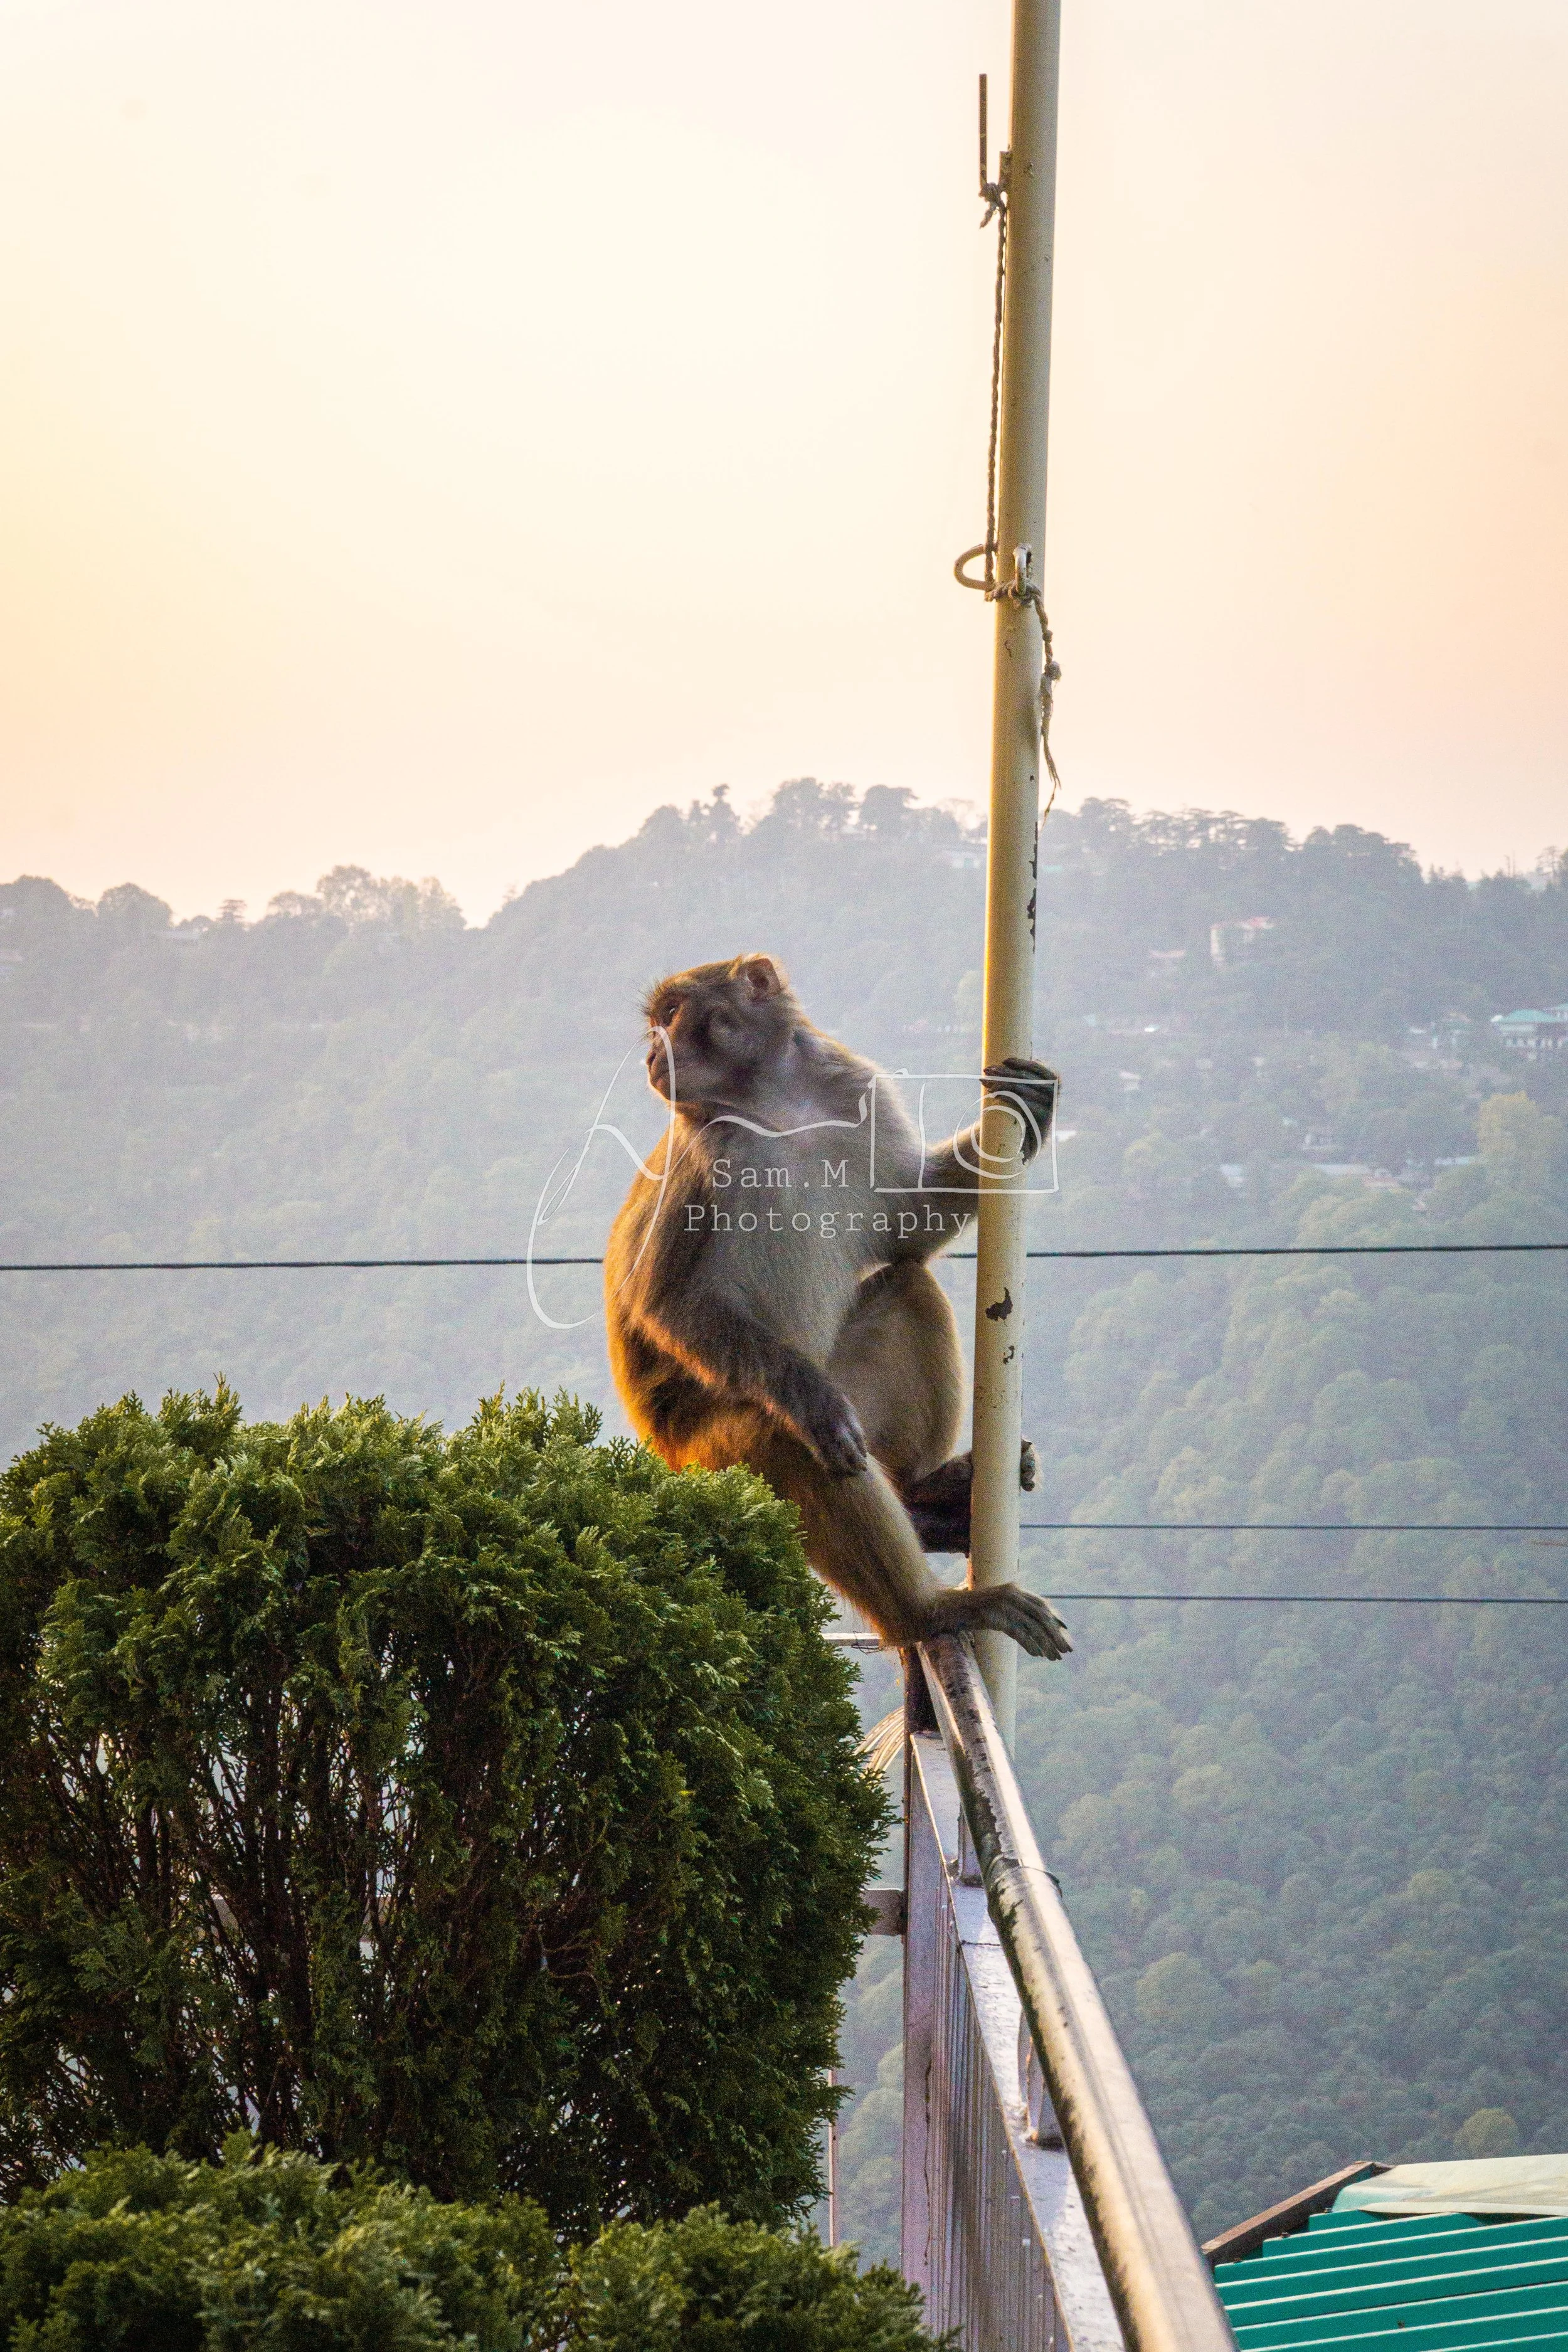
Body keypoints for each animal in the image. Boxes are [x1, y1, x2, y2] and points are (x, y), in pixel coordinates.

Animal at [604, 952, 1070, 1660]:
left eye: (670, 1015)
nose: (652, 1055)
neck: (775, 1104)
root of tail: (667, 1460)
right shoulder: (705, 1151)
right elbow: (666, 1303)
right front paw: (816, 1407)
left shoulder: (855, 1088)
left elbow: (905, 1223)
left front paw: (1029, 1108)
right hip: (715, 1454)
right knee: (791, 1441)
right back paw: (927, 1613)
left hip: (861, 1406)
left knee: (911, 1288)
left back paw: (922, 1492)